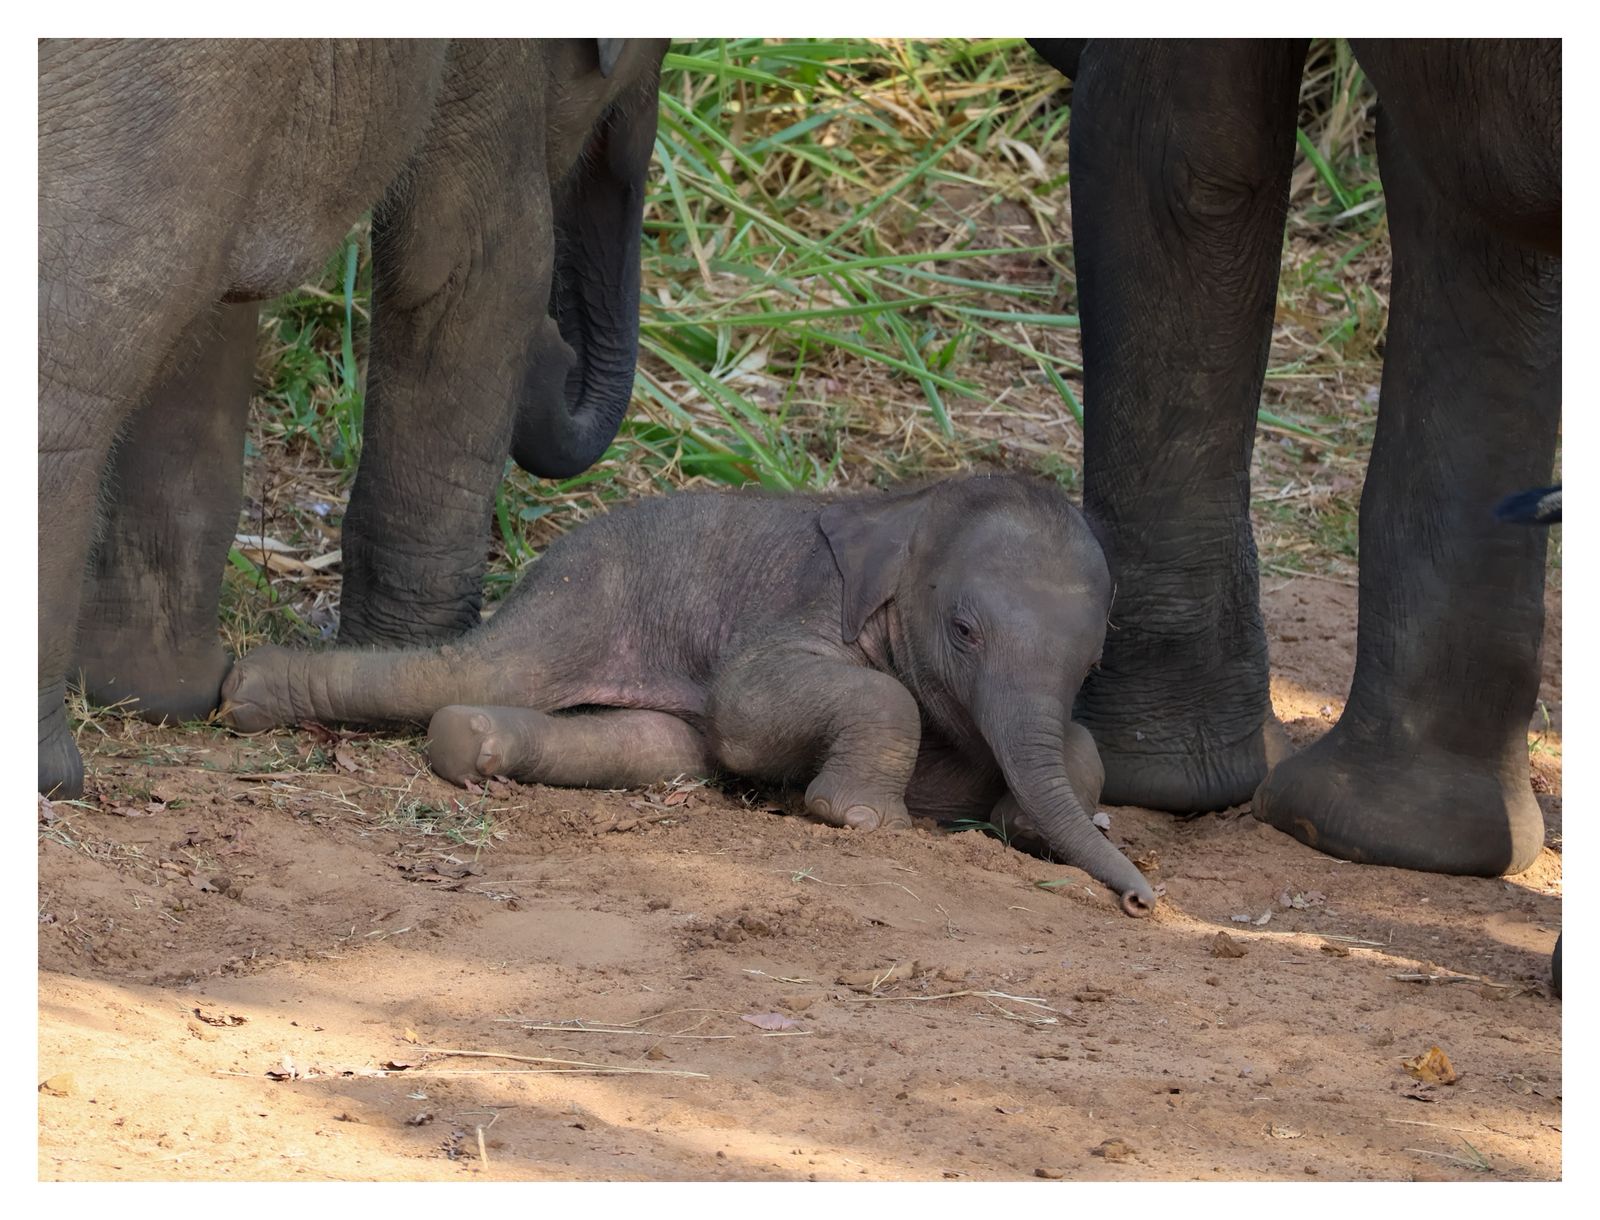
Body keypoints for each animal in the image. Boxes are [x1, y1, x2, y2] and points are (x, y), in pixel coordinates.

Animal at [39, 38, 670, 799]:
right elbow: (479, 259)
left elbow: (217, 303)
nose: (556, 349)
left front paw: (154, 694)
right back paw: (50, 775)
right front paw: (410, 656)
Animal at [217, 474, 1159, 915]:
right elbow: (748, 708)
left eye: (1092, 663)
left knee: (652, 745)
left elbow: (1058, 745)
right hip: (588, 592)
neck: (909, 506)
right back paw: (246, 694)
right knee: (483, 668)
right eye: (964, 631)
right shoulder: (802, 605)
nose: (1144, 899)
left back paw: (465, 744)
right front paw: (858, 821)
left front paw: (1045, 824)